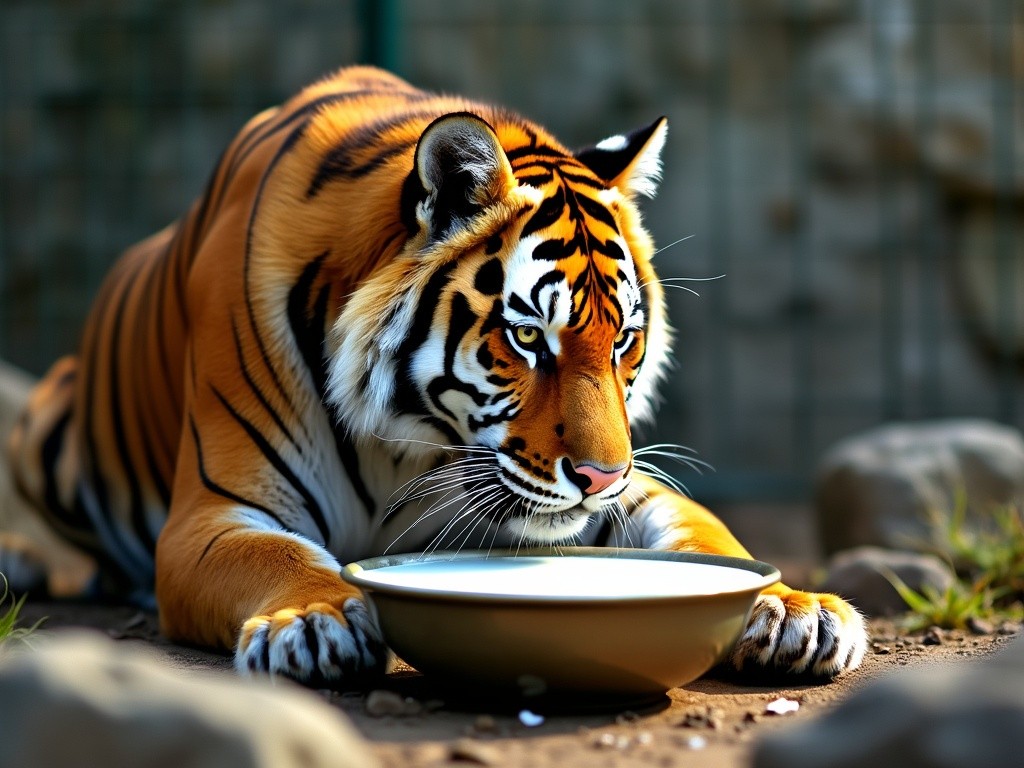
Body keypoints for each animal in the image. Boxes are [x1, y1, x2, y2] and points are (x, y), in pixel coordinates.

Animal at [8, 66, 864, 684]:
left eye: (623, 340)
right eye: (528, 337)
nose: (599, 477)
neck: (406, 439)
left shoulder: (624, 498)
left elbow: (706, 534)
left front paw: (796, 607)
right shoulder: (214, 514)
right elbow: (280, 557)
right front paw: (315, 621)